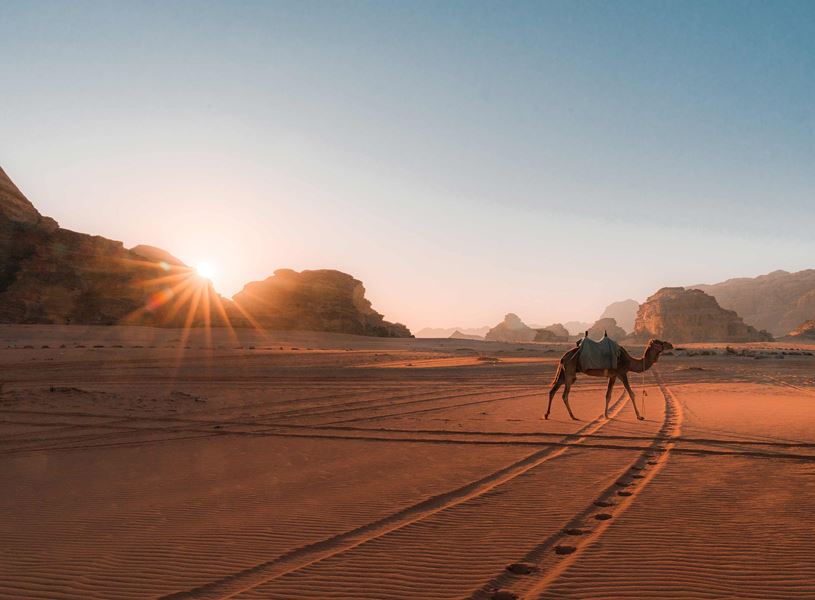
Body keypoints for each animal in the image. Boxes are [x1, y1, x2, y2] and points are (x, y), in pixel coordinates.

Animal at [544, 338, 673, 421]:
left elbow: (608, 395)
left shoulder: (613, 376)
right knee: (564, 394)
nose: (671, 345)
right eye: (661, 342)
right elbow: (631, 393)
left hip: (564, 373)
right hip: (570, 372)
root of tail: (563, 357)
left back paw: (546, 414)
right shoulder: (622, 373)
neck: (630, 361)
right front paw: (639, 416)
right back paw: (573, 416)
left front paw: (606, 415)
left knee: (553, 391)